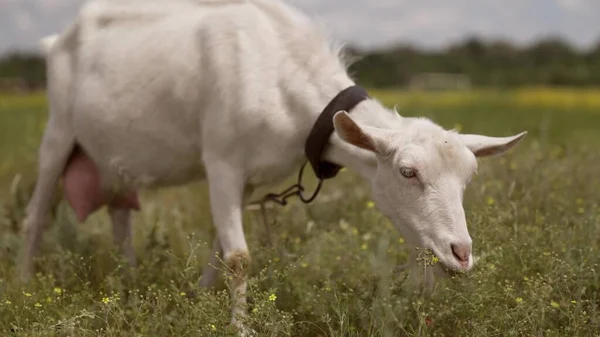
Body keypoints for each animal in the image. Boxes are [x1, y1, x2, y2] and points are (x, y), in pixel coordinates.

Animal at [25, 0, 528, 330]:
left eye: (469, 178)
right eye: (408, 172)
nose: (460, 254)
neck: (281, 74)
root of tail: (56, 41)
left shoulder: (247, 180)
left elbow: (219, 249)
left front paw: (204, 302)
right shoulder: (222, 161)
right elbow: (240, 257)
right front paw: (240, 327)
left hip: (114, 161)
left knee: (120, 217)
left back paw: (127, 281)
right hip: (57, 131)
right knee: (36, 215)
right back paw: (21, 286)